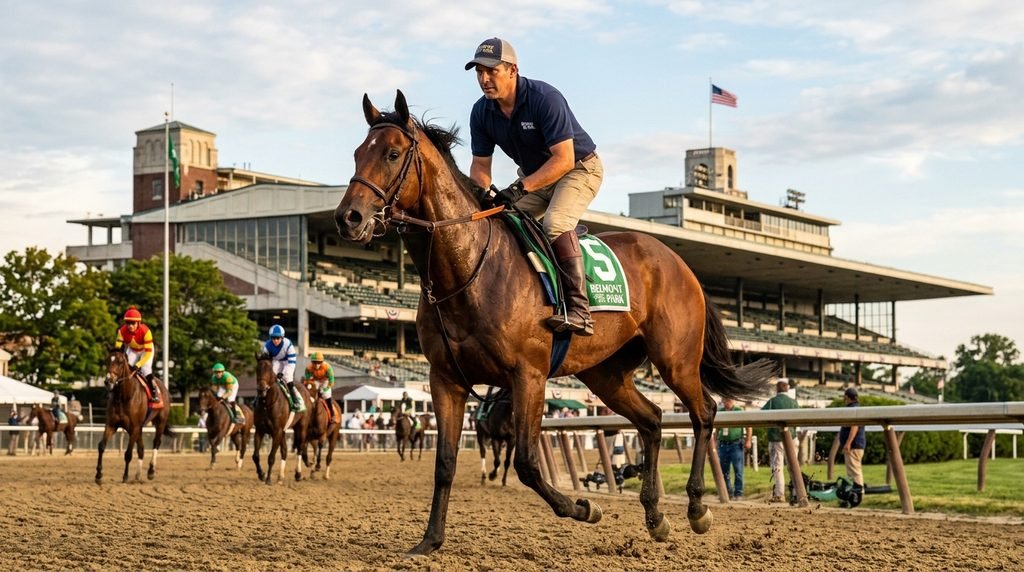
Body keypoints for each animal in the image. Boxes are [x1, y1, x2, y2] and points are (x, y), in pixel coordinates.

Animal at [96, 348, 172, 484]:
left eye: (120, 362)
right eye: (107, 360)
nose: (108, 381)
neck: (124, 396)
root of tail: (163, 386)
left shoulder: (134, 427)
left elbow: (128, 453)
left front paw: (125, 476)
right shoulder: (112, 425)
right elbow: (101, 446)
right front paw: (98, 474)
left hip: (160, 422)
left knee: (156, 442)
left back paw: (151, 471)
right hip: (140, 428)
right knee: (141, 449)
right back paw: (138, 475)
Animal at [251, 354, 312, 485]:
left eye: (269, 370)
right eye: (257, 369)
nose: (261, 389)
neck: (267, 404)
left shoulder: (276, 431)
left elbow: (271, 457)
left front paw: (268, 479)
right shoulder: (260, 430)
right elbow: (255, 456)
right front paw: (261, 474)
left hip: (301, 427)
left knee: (300, 448)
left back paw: (298, 474)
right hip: (283, 431)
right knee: (284, 451)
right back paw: (280, 476)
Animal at [333, 91, 776, 555]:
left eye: (392, 153)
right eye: (358, 153)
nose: (348, 218)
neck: (470, 267)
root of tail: (680, 262)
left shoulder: (528, 374)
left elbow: (528, 463)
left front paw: (584, 507)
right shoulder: (445, 379)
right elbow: (445, 463)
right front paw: (430, 540)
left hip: (675, 358)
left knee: (703, 412)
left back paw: (696, 507)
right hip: (606, 374)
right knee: (653, 420)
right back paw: (655, 516)